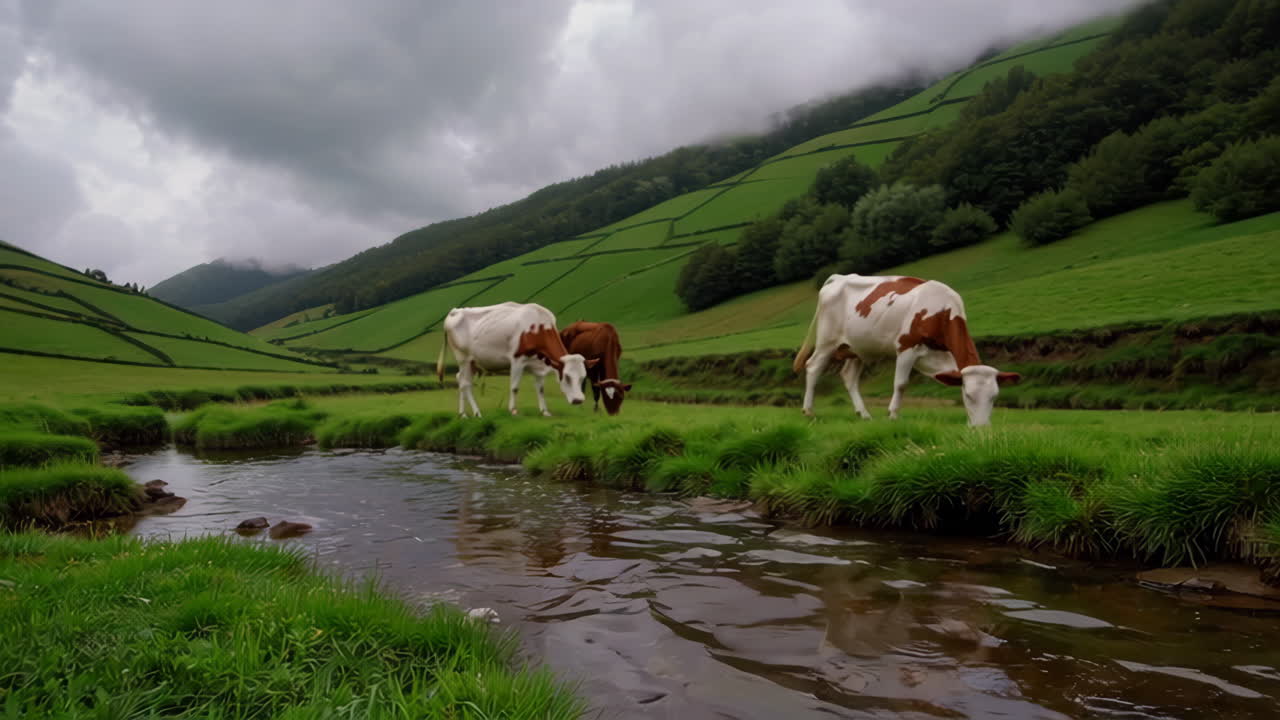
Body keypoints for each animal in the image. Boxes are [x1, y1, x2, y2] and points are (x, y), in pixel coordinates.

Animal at [436, 302, 596, 417]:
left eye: (583, 377)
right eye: (567, 377)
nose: (578, 400)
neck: (537, 328)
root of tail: (455, 311)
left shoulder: (537, 364)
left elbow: (541, 389)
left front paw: (545, 411)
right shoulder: (517, 360)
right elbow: (514, 387)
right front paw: (513, 410)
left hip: (473, 362)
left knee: (461, 379)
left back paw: (463, 413)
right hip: (462, 358)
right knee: (465, 383)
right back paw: (474, 413)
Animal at [793, 274, 1020, 426]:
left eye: (994, 397)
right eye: (969, 395)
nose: (982, 428)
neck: (941, 311)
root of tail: (839, 277)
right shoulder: (906, 347)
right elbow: (901, 384)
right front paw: (893, 415)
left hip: (856, 348)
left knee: (849, 377)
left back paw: (864, 414)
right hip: (827, 341)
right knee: (813, 367)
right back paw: (809, 411)